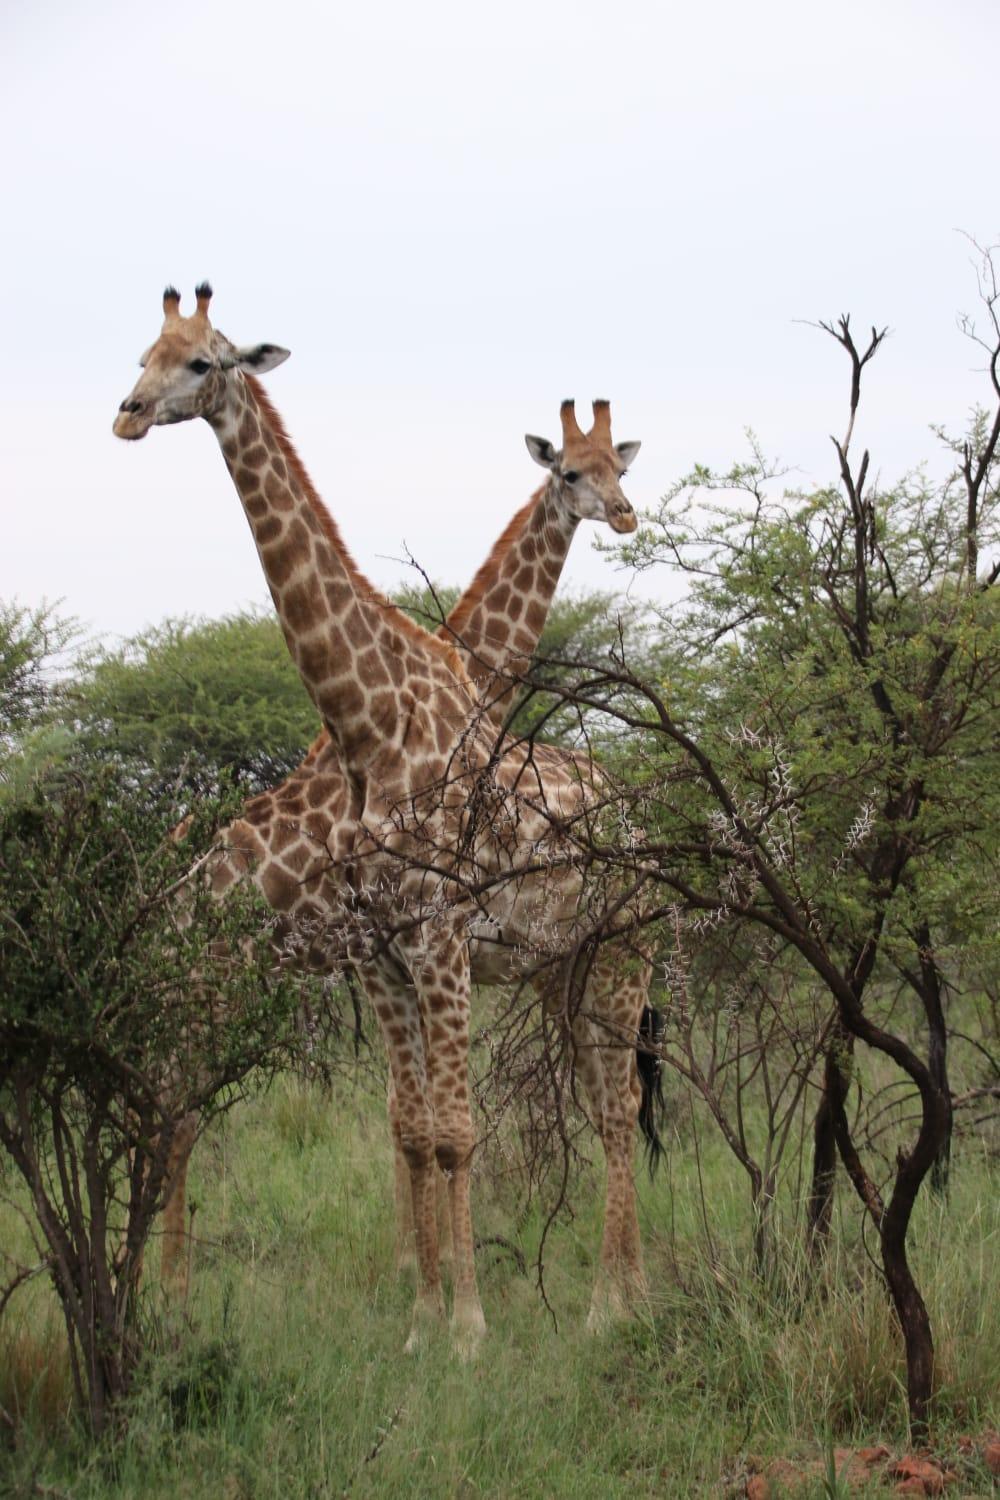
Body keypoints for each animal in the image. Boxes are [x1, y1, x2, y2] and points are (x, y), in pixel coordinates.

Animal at [113, 286, 656, 1356]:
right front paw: (427, 1312)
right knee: (176, 1110)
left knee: (616, 1111)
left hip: (610, 959)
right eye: (147, 352)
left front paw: (456, 1324)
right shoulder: (389, 951)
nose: (128, 414)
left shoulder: (430, 943)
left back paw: (615, 1308)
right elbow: (420, 1128)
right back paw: (169, 1305)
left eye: (203, 361)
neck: (377, 720)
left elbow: (441, 1130)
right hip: (229, 985)